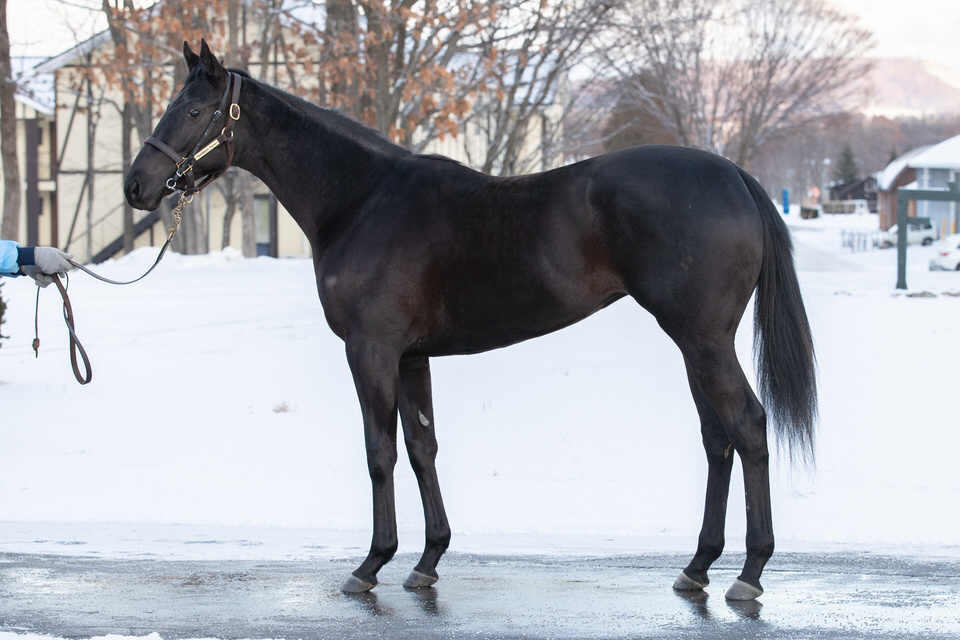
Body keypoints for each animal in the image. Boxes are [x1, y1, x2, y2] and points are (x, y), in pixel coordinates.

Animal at [124, 40, 817, 601]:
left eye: (193, 111)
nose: (136, 185)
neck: (362, 199)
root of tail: (733, 175)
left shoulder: (371, 351)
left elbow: (380, 452)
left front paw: (371, 565)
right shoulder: (411, 357)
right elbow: (422, 447)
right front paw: (427, 560)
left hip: (702, 341)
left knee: (748, 426)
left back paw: (750, 574)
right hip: (696, 344)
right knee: (717, 437)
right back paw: (697, 567)